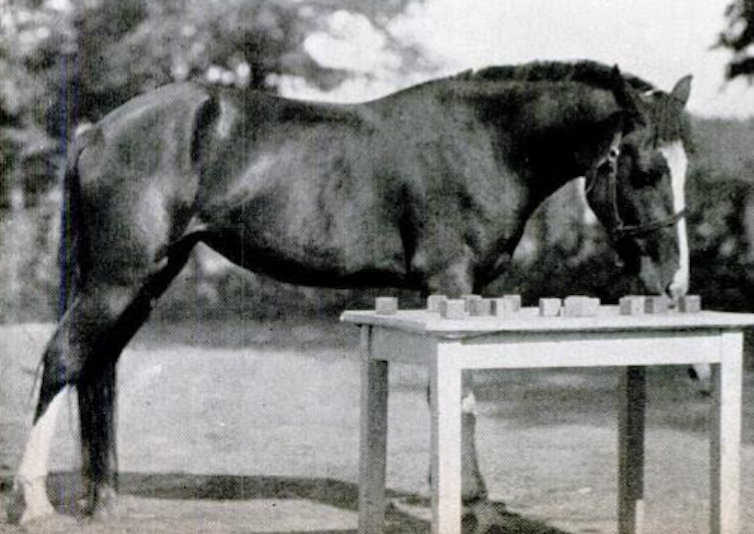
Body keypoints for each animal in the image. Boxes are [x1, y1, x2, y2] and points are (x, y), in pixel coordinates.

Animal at [10, 60, 693, 526]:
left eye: (687, 166)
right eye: (645, 169)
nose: (673, 281)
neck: (486, 140)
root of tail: (99, 130)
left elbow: (460, 394)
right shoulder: (450, 285)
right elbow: (457, 393)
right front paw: (469, 499)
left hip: (147, 279)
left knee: (97, 368)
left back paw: (106, 500)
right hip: (117, 278)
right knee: (62, 360)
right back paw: (37, 502)